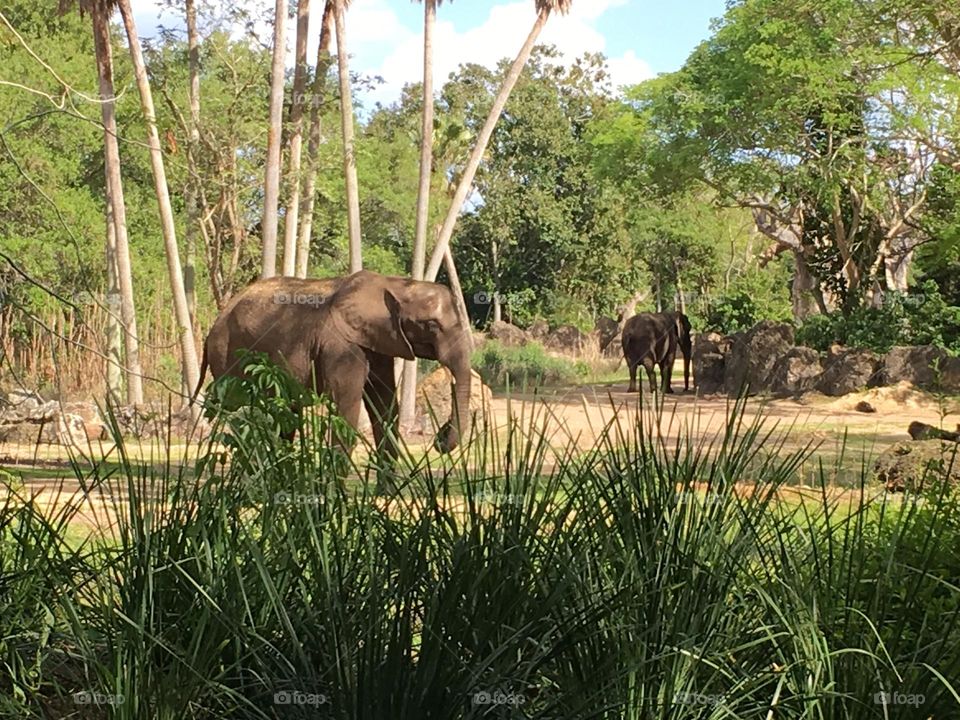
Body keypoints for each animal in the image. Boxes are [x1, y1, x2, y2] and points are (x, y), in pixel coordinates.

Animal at [193, 270, 473, 476]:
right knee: (242, 410)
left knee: (282, 413)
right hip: (229, 353)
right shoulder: (341, 346)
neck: (395, 284)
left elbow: (384, 406)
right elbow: (347, 405)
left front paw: (385, 495)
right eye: (431, 325)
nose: (439, 437)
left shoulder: (379, 342)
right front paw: (336, 494)